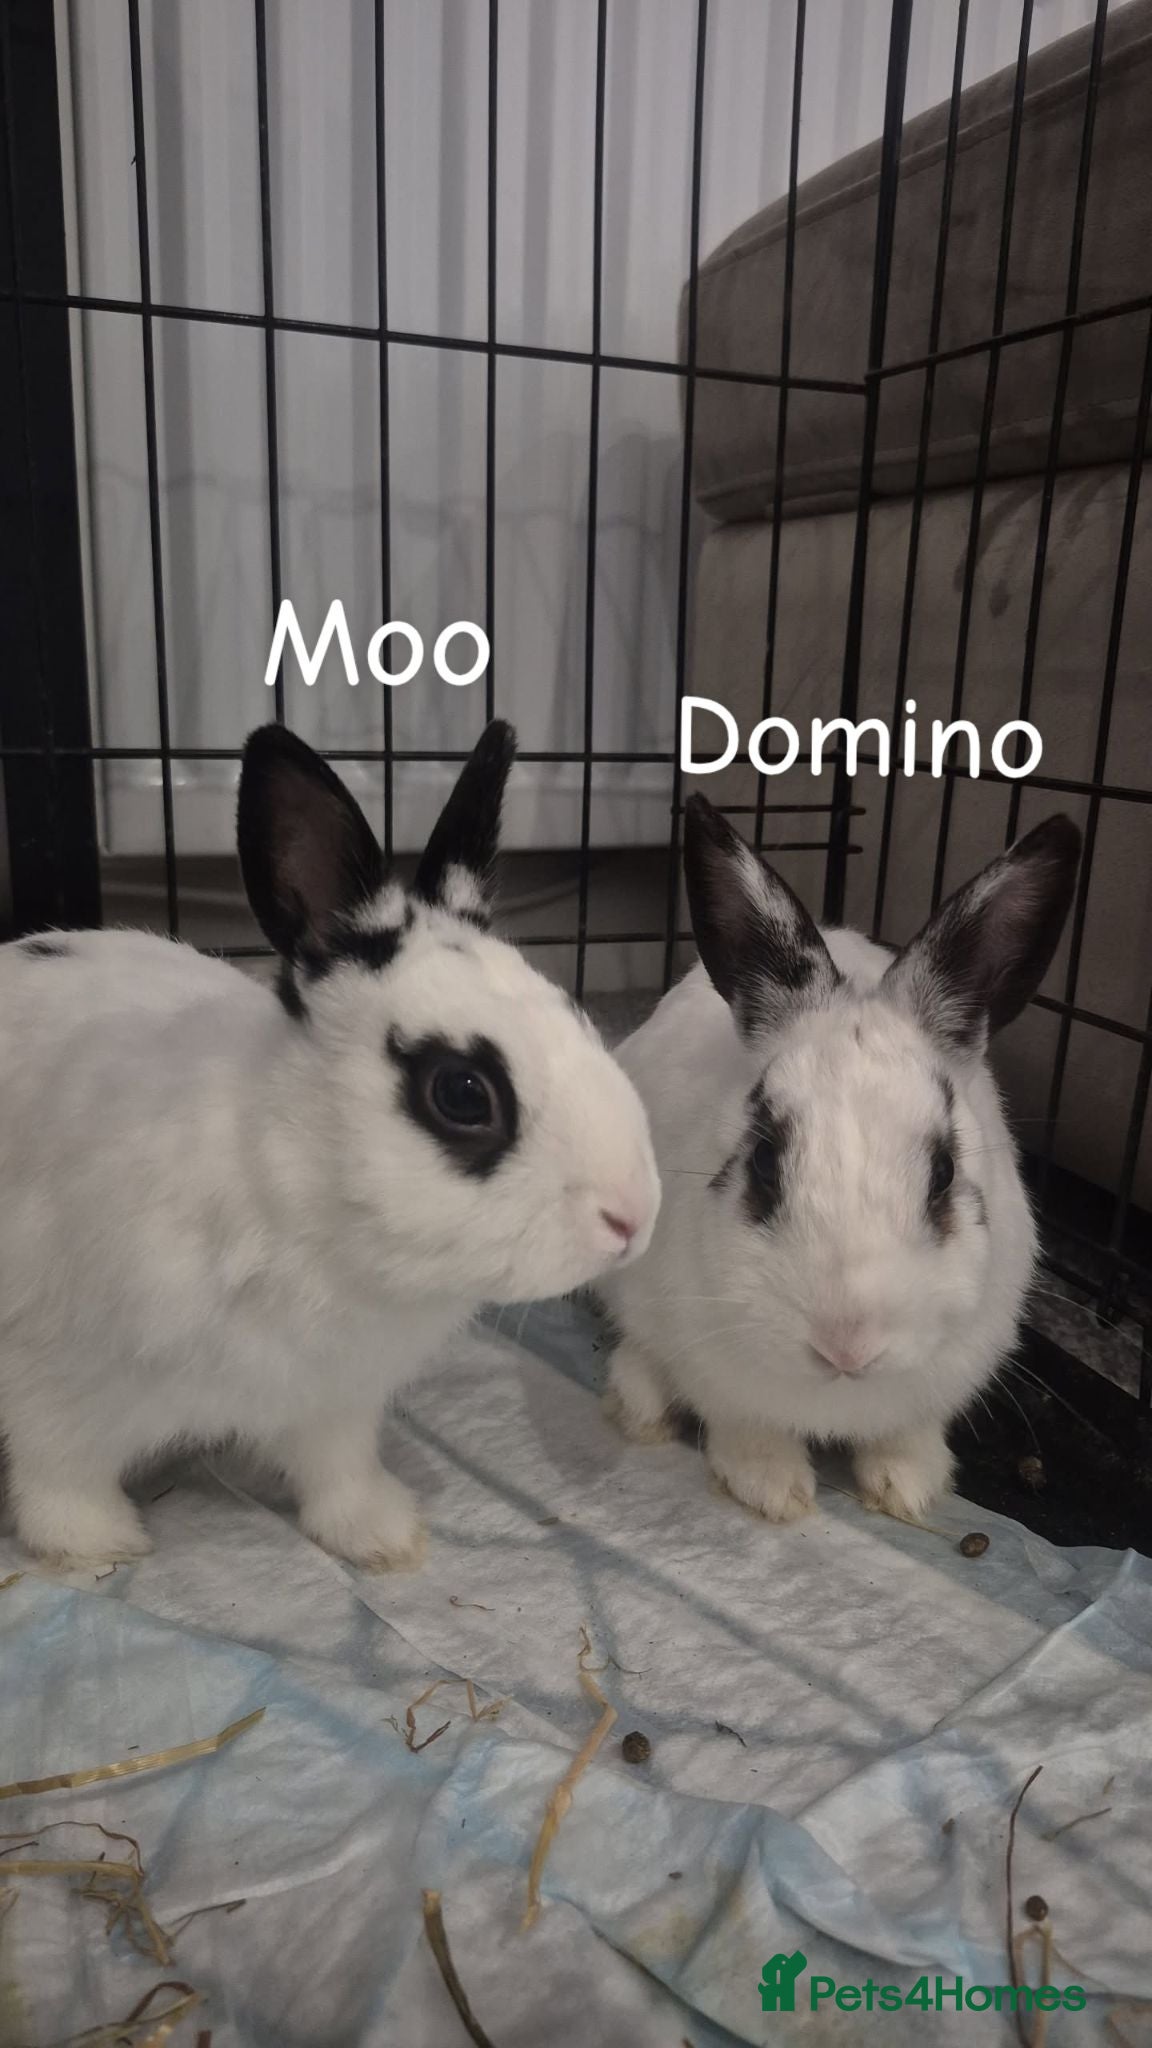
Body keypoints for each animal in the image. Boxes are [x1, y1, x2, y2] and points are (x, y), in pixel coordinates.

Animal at [0, 721, 659, 1570]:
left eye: (577, 1016)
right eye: (462, 1093)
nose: (633, 1220)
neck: (300, 1199)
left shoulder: (332, 1397)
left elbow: (338, 1470)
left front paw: (384, 1537)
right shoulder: (54, 1374)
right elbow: (60, 1469)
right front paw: (98, 1546)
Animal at [600, 794, 1081, 1526]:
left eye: (943, 1173)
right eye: (764, 1160)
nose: (846, 1343)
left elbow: (906, 1433)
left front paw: (909, 1488)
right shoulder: (710, 1361)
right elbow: (746, 1425)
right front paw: (774, 1491)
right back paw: (642, 1406)